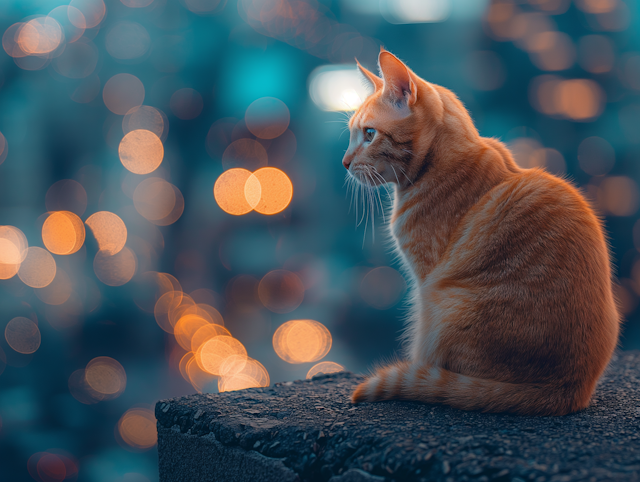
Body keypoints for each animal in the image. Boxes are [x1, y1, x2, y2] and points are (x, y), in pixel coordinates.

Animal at [344, 50, 620, 418]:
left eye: (369, 134)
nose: (345, 162)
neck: (443, 163)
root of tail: (570, 390)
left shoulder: (424, 283)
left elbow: (421, 350)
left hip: (444, 305)